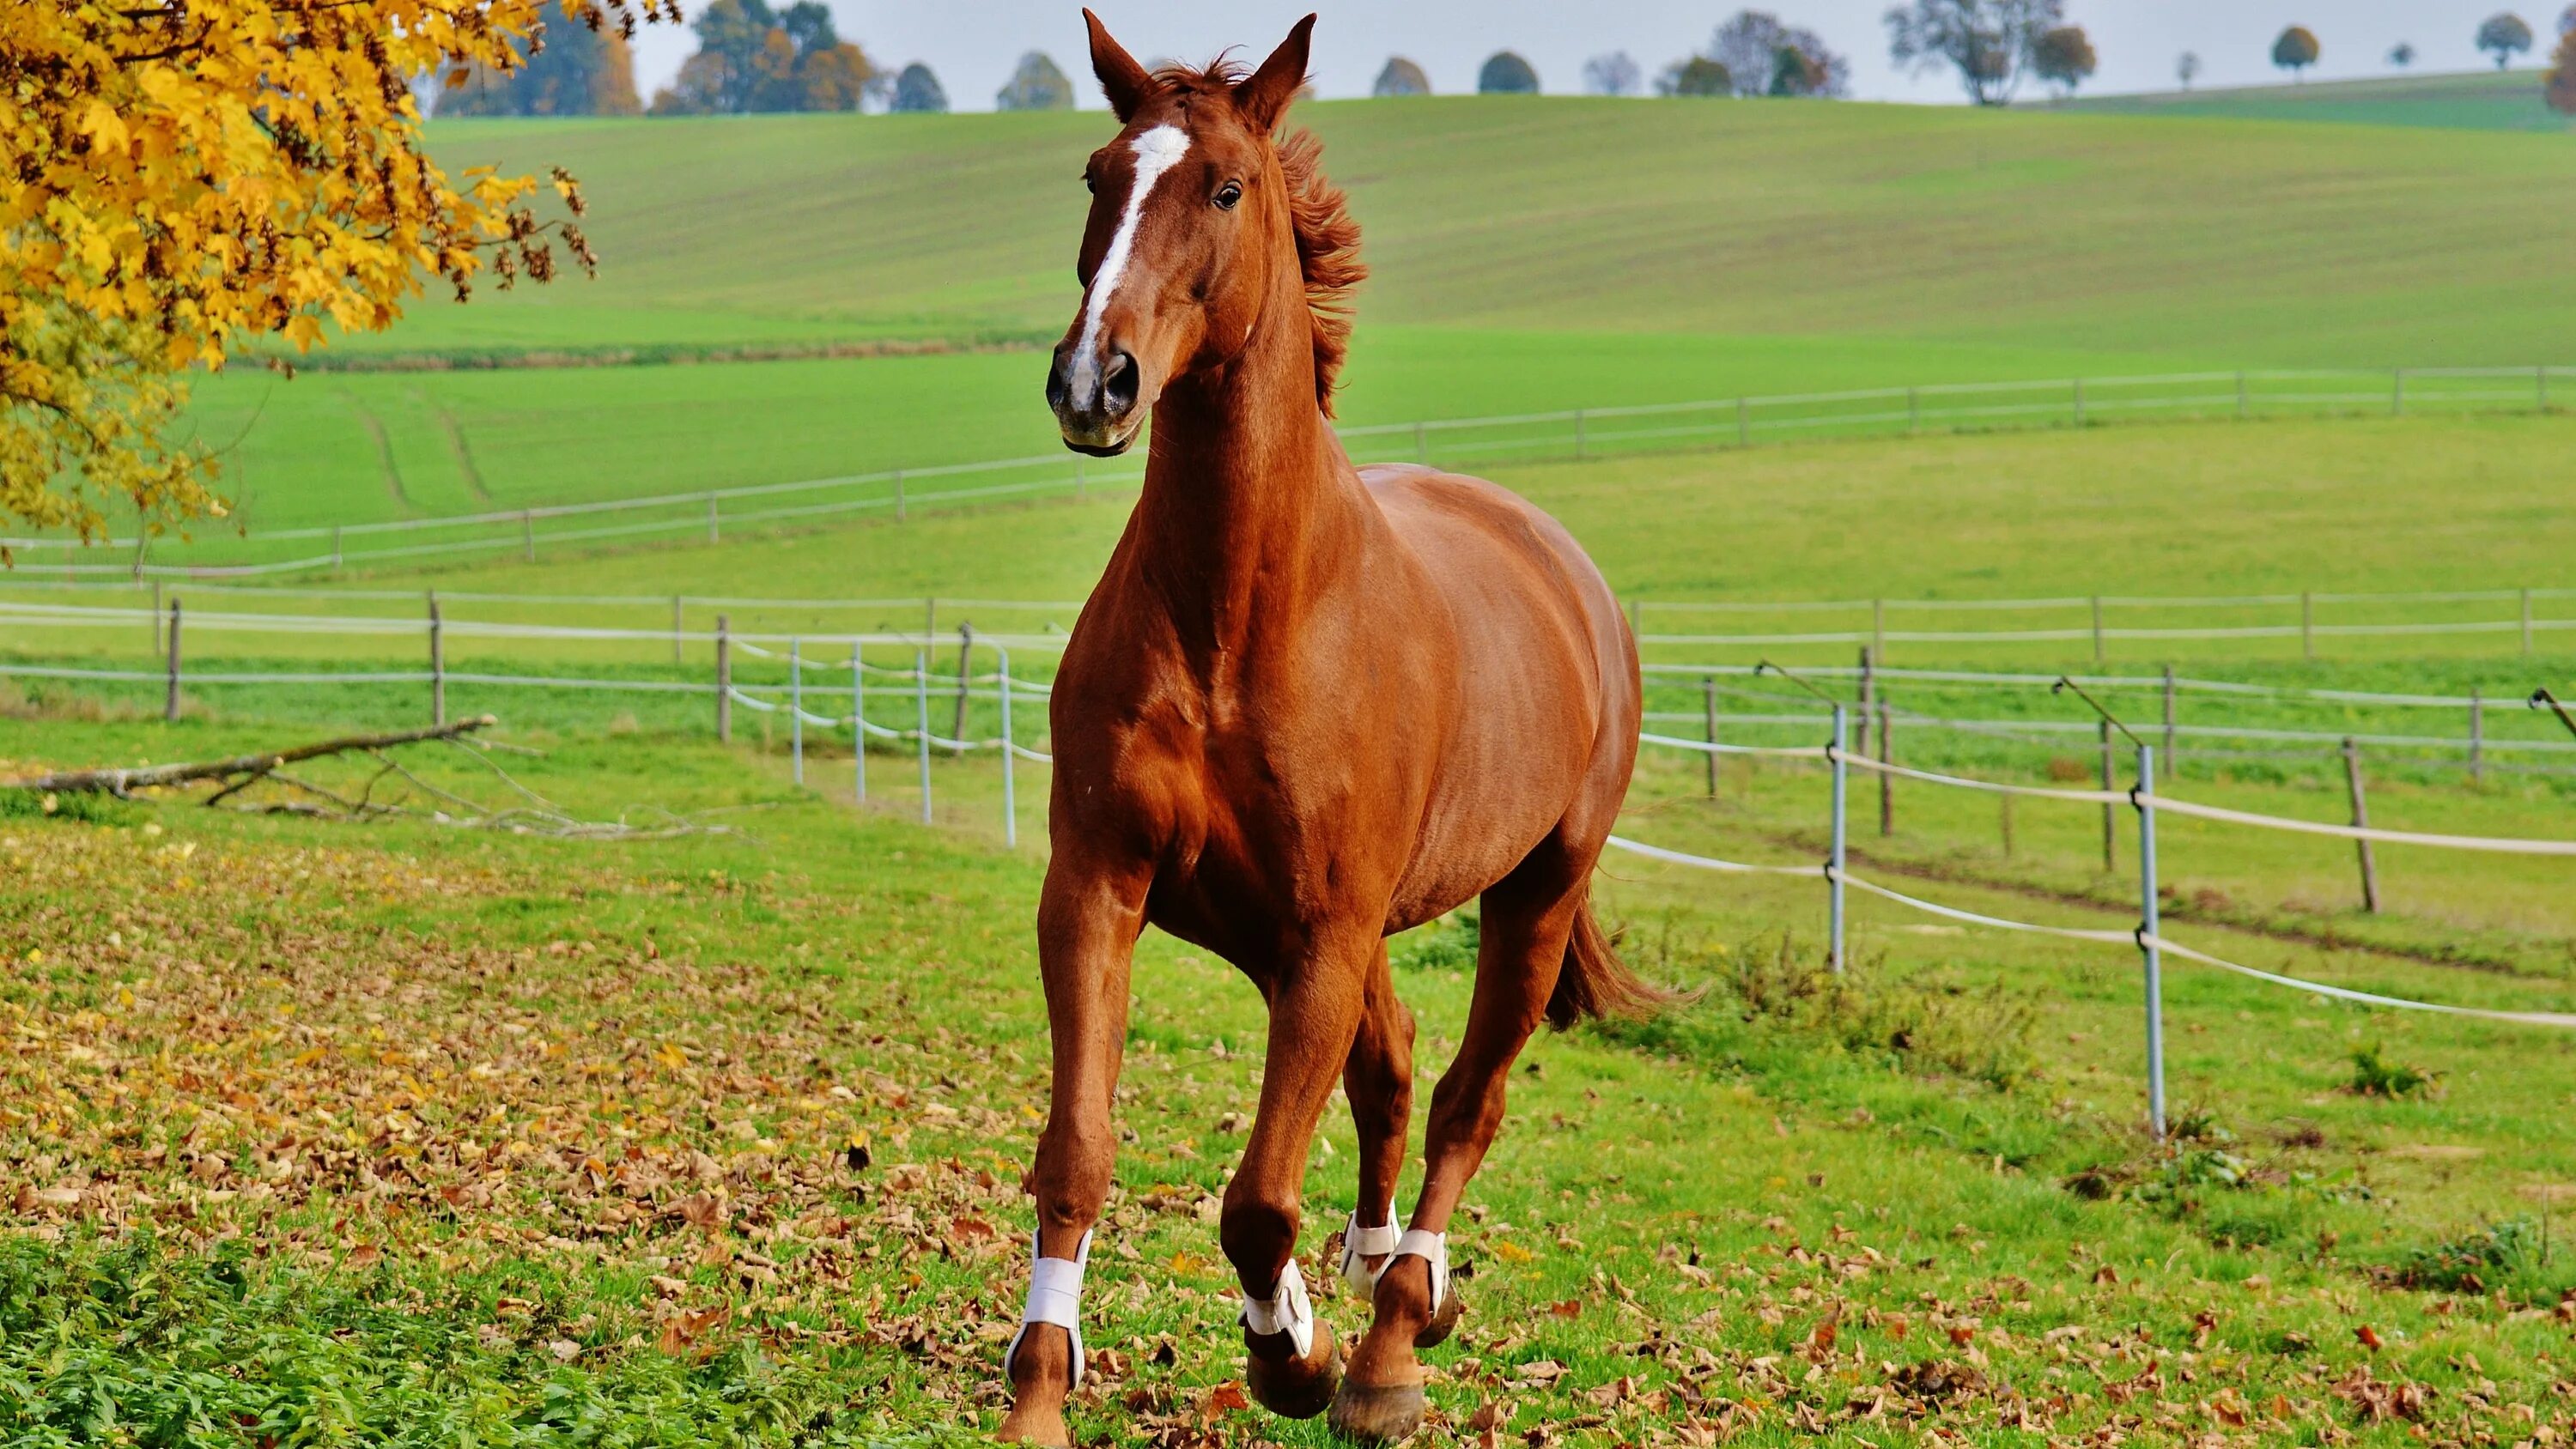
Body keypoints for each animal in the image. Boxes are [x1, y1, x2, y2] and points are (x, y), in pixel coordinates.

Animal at [994, 14, 1659, 1449]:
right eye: (1098, 176)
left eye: (1226, 188)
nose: (1094, 381)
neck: (1238, 620)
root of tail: (1570, 573)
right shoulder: (1102, 889)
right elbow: (1079, 1151)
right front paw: (1039, 1395)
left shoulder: (1325, 932)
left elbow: (1256, 1199)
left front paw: (1291, 1355)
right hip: (1286, 934)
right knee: (1394, 1070)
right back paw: (1370, 1275)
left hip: (1526, 899)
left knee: (1466, 1098)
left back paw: (1398, 1331)